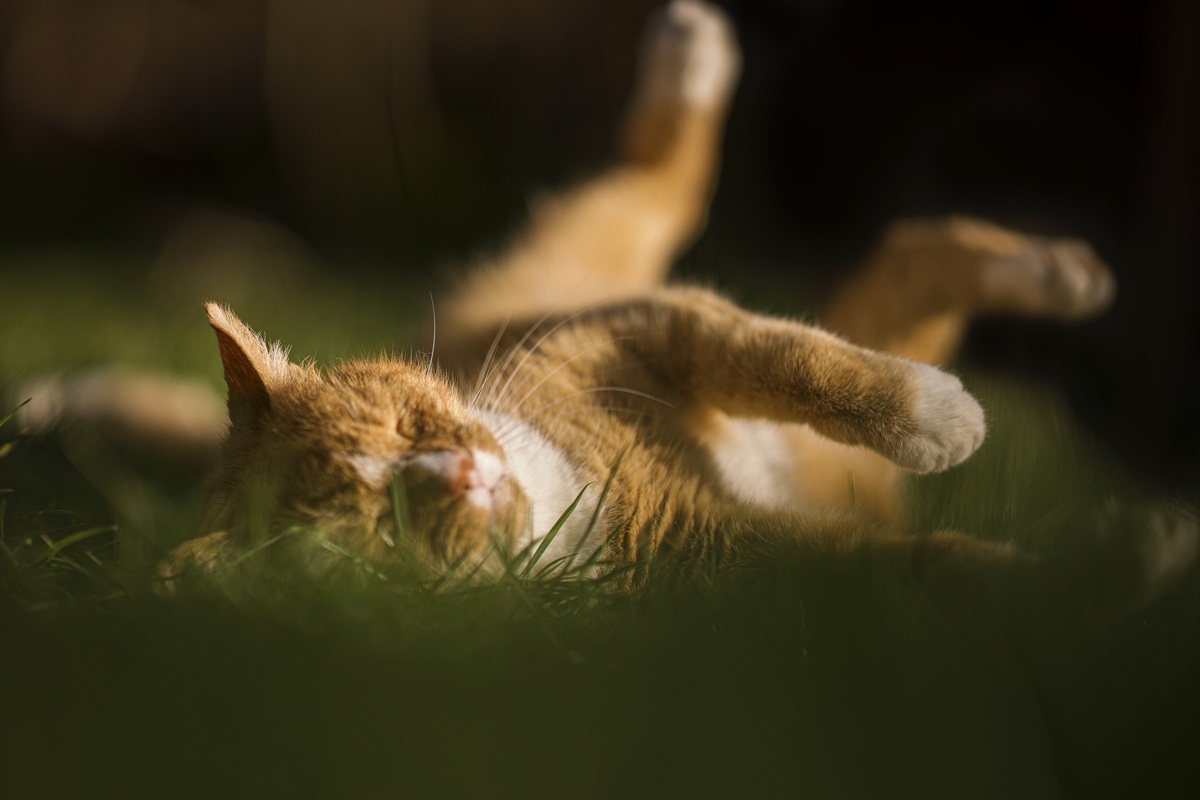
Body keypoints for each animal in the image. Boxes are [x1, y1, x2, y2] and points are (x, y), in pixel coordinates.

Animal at [164, 0, 1195, 618]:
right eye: (378, 534)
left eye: (405, 424)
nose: (462, 472)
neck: (562, 481)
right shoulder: (739, 564)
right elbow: (922, 564)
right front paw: (1093, 568)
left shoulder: (637, 328)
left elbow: (783, 355)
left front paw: (931, 415)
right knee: (888, 275)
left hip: (593, 264)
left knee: (671, 193)